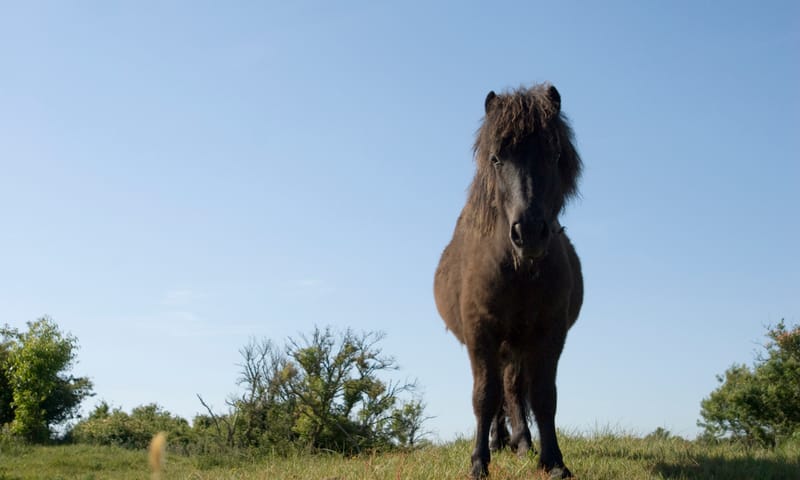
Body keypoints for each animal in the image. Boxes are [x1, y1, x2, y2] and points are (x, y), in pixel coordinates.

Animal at [434, 83, 583, 478]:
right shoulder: (480, 333)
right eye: (497, 159)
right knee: (500, 392)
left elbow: (544, 396)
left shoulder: (549, 334)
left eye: (554, 154)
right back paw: (500, 441)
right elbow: (484, 397)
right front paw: (478, 462)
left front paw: (553, 461)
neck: (518, 271)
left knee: (514, 391)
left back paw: (522, 443)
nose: (528, 233)